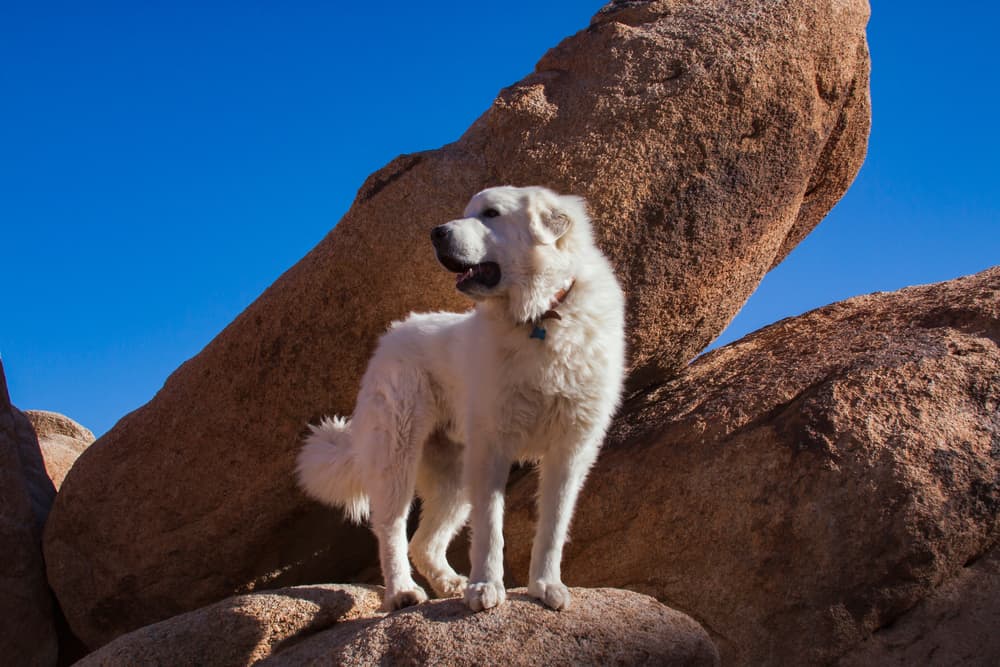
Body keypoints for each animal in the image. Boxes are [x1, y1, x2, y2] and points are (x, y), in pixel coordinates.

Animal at [294, 185, 624, 612]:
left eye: (491, 214)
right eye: (468, 211)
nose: (436, 233)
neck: (539, 320)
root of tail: (391, 335)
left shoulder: (570, 451)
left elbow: (553, 526)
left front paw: (545, 585)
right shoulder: (491, 447)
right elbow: (490, 529)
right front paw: (486, 587)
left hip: (452, 478)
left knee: (424, 543)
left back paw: (449, 583)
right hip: (397, 454)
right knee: (391, 529)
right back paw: (402, 592)